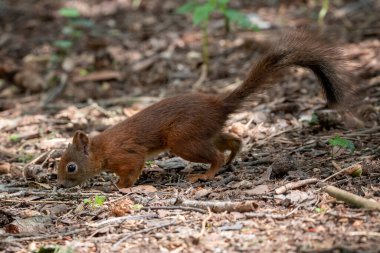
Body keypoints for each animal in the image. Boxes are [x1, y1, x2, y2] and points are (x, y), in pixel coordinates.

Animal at [56, 32, 350, 188]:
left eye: (71, 167)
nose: (59, 183)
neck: (102, 149)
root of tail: (218, 106)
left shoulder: (127, 154)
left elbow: (132, 169)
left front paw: (121, 186)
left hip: (182, 139)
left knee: (216, 155)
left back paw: (206, 174)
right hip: (202, 133)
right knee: (233, 139)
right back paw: (232, 158)